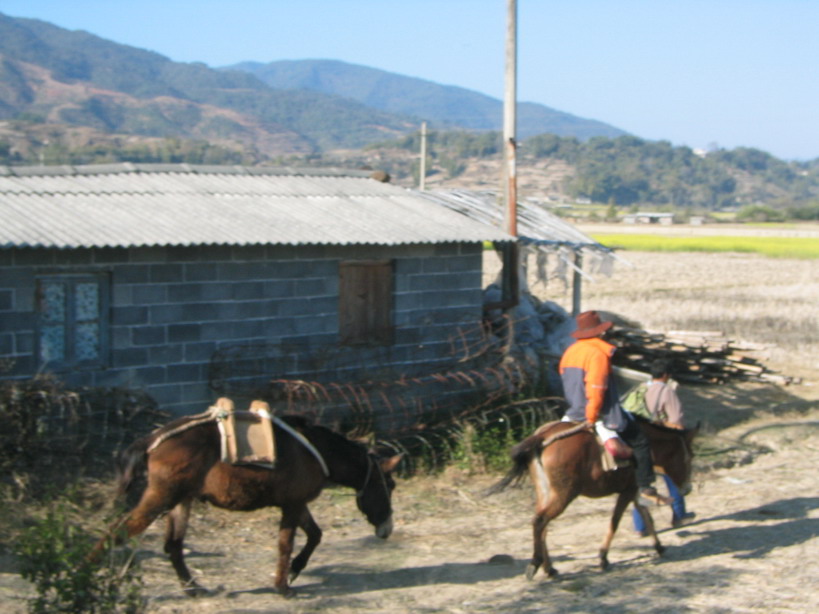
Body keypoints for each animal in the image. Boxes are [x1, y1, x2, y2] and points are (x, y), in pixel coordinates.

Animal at [490, 418, 696, 584]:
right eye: (689, 457)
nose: (688, 488)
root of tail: (542, 438)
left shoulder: (633, 490)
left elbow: (647, 518)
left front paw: (659, 547)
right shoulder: (628, 491)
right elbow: (615, 521)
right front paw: (603, 557)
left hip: (546, 492)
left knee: (541, 525)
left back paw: (549, 568)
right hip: (564, 494)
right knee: (540, 521)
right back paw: (536, 564)